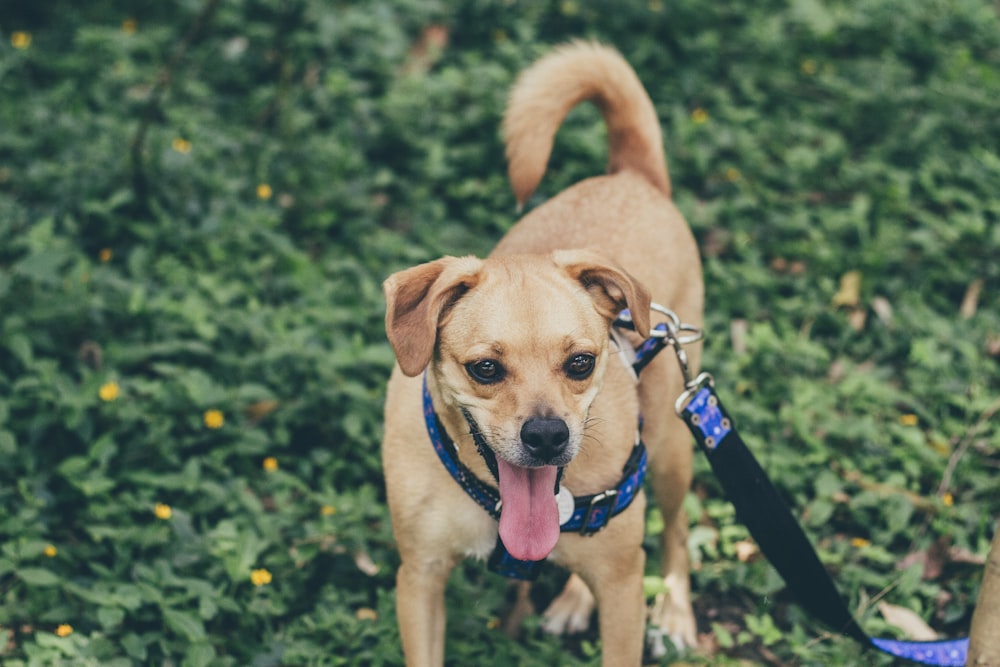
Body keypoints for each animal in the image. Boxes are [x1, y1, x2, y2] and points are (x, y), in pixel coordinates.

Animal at [382, 43, 704, 667]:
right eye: (485, 368)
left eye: (580, 362)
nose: (549, 436)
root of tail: (631, 176)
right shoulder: (420, 580)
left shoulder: (623, 591)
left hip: (673, 449)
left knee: (677, 531)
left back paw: (677, 611)